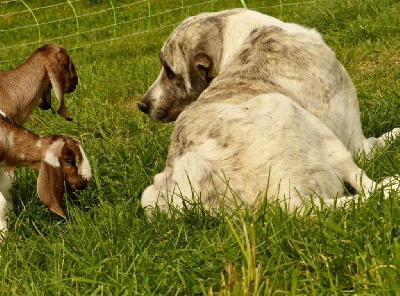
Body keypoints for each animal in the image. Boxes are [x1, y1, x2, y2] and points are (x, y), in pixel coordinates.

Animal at [137, 8, 396, 213]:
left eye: (170, 71)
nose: (142, 105)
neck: (246, 36)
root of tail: (292, 205)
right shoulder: (357, 142)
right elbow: (379, 143)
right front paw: (394, 133)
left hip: (150, 195)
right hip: (292, 111)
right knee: (369, 186)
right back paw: (391, 184)